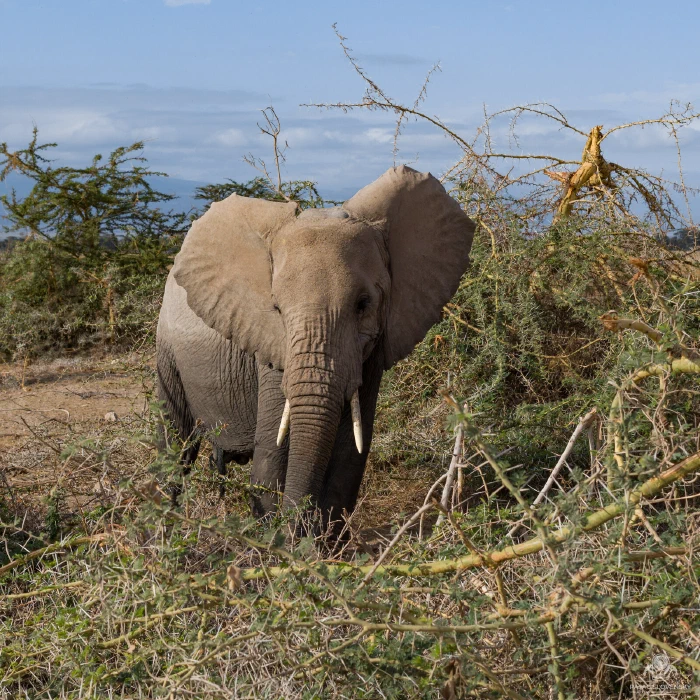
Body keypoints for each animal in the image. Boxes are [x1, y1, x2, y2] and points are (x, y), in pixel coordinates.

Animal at [156, 165, 474, 524]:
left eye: (363, 304)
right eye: (277, 308)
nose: (298, 522)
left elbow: (350, 454)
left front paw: (319, 538)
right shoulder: (272, 346)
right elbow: (273, 451)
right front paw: (281, 535)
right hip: (167, 349)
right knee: (174, 444)